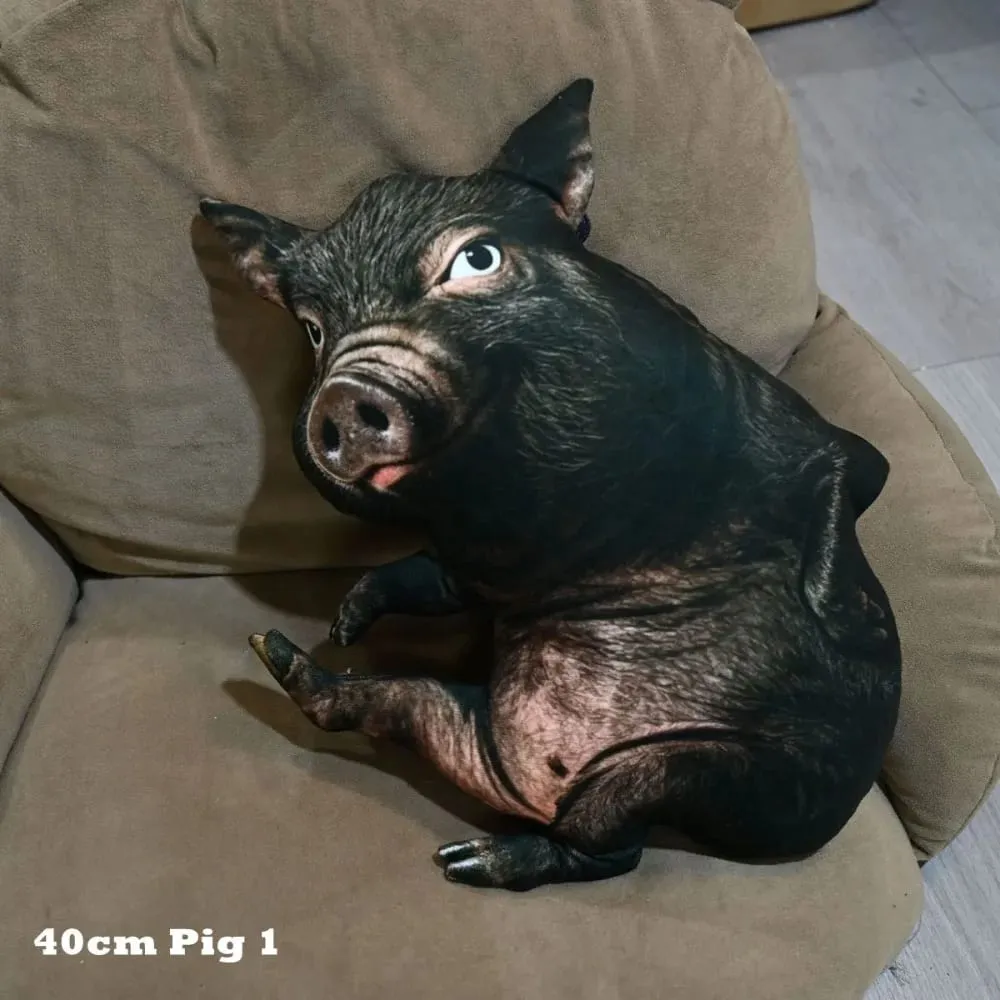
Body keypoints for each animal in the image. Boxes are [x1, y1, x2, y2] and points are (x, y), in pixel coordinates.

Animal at [198, 78, 901, 892]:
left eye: (476, 259)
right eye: (313, 328)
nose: (345, 392)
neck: (545, 519)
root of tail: (541, 782)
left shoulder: (818, 441)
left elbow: (854, 476)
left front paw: (844, 620)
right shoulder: (481, 566)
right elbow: (429, 578)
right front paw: (346, 621)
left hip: (693, 770)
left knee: (615, 853)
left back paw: (471, 860)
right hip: (479, 731)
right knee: (400, 713)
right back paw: (292, 669)